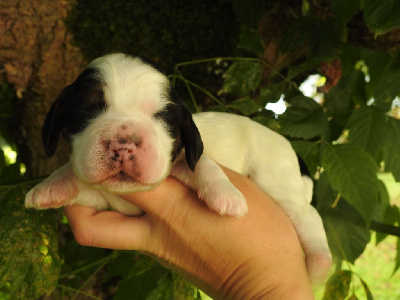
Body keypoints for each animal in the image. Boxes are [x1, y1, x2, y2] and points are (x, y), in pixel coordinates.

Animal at [24, 52, 332, 284]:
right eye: (87, 110)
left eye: (161, 116)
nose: (123, 145)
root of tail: (293, 150)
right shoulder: (110, 201)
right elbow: (83, 184)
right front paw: (51, 186)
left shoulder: (185, 154)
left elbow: (200, 161)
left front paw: (225, 195)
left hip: (276, 177)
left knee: (308, 215)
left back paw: (319, 266)